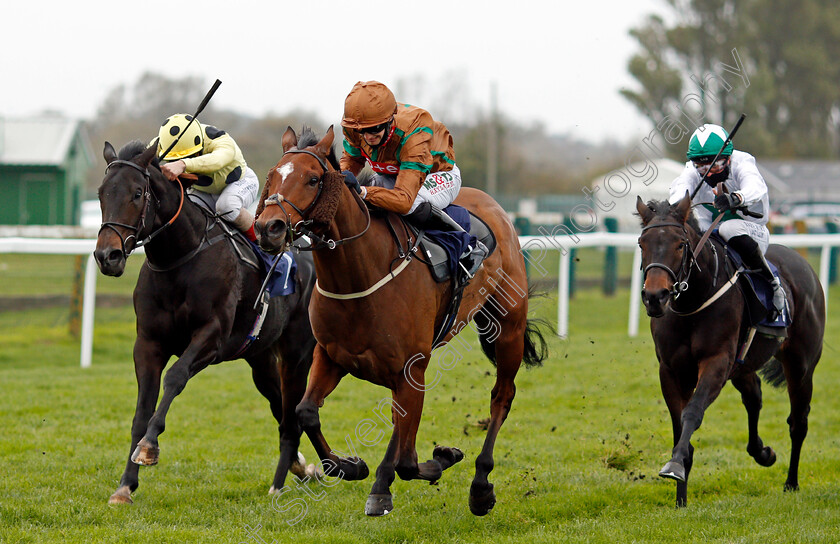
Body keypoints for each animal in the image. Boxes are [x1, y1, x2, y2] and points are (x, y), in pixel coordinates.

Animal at [95, 141, 316, 506]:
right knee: (280, 406)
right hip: (260, 358)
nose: (106, 256)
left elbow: (175, 377)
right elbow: (142, 410)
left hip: (298, 353)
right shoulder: (148, 344)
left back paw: (280, 482)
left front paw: (148, 447)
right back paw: (301, 466)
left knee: (291, 412)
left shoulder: (211, 337)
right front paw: (125, 485)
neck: (178, 259)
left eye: (138, 193)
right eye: (101, 193)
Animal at [253, 125, 548, 516]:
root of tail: (496, 208)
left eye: (313, 179)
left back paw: (480, 487)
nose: (268, 228)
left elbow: (408, 460)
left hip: (508, 329)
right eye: (272, 176)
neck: (360, 275)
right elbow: (306, 412)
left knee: (502, 397)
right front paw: (350, 466)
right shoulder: (331, 356)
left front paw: (429, 464)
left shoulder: (412, 368)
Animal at [636, 194, 820, 506]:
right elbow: (678, 426)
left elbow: (692, 412)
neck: (693, 302)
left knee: (798, 422)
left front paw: (674, 466)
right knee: (754, 396)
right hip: (743, 365)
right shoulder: (670, 370)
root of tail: (801, 262)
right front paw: (680, 499)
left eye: (680, 244)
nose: (655, 297)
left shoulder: (717, 362)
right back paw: (762, 452)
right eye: (641, 243)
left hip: (800, 365)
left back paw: (791, 483)